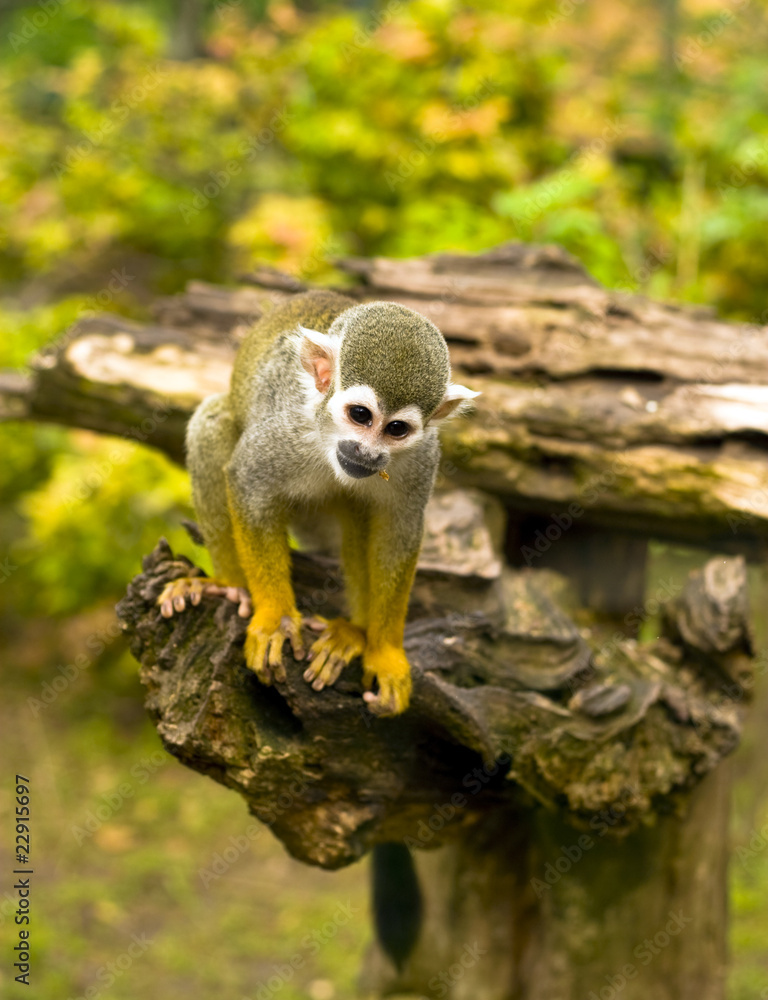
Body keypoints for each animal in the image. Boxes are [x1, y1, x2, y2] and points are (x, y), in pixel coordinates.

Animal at [157, 289, 477, 716]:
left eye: (397, 429)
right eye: (360, 415)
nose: (367, 453)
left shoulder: (422, 456)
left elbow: (398, 531)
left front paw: (386, 652)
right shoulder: (287, 428)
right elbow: (248, 481)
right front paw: (275, 619)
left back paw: (352, 633)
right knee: (212, 419)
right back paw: (229, 587)